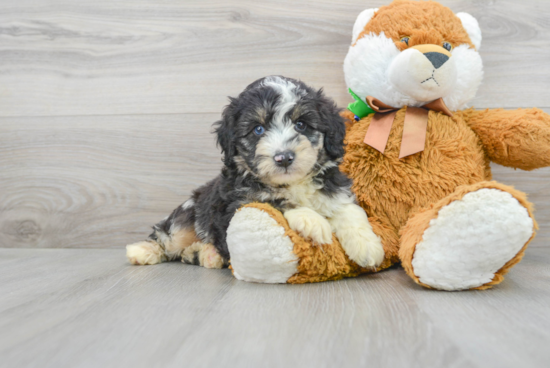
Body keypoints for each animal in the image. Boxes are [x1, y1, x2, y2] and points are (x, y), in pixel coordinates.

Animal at [126, 76, 384, 268]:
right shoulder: (236, 204)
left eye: (301, 125)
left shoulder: (335, 190)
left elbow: (350, 211)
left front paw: (367, 246)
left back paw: (206, 254)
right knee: (167, 238)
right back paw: (142, 251)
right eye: (258, 129)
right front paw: (312, 220)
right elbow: (275, 201)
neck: (292, 184)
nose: (283, 157)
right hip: (187, 217)